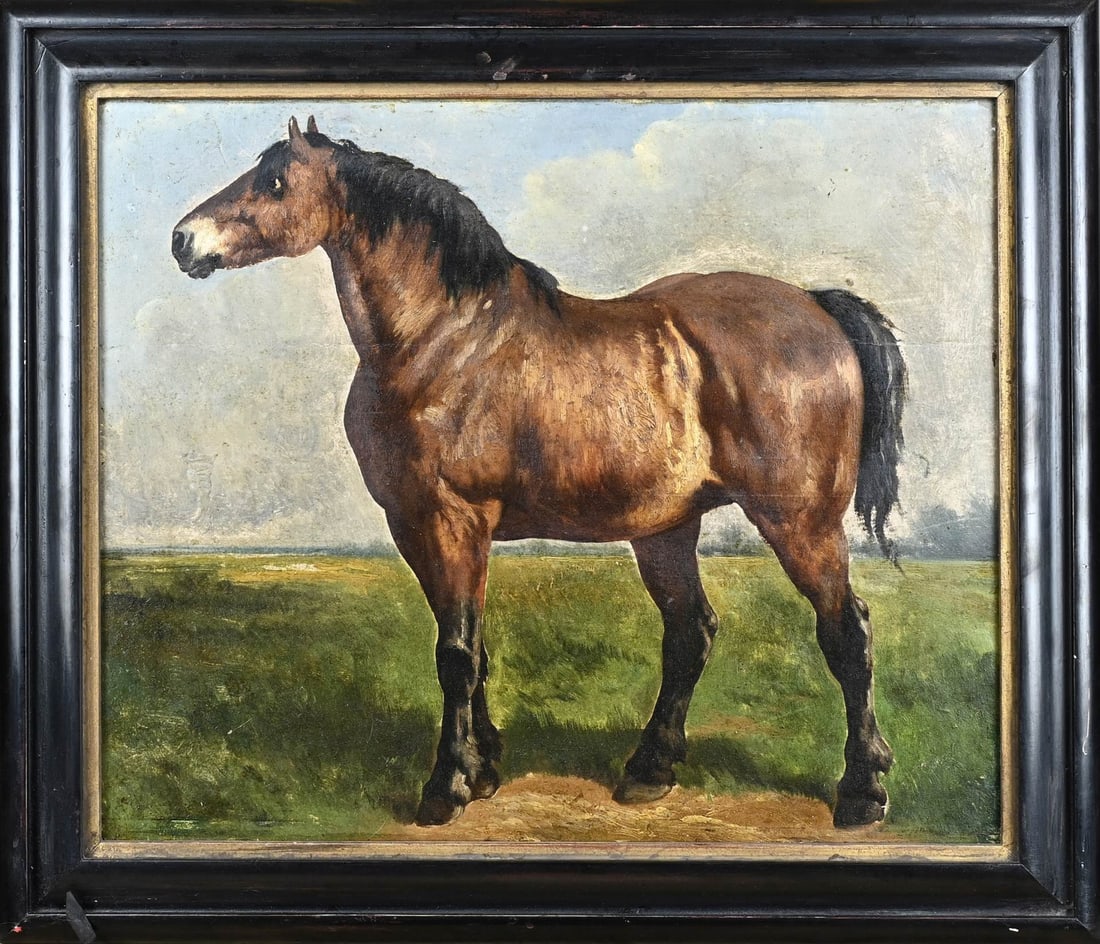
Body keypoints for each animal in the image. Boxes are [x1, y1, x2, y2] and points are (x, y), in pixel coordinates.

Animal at [172, 117, 906, 830]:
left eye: (274, 182)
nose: (183, 241)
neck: (445, 340)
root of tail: (814, 304)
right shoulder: (414, 525)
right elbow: (470, 646)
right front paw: (484, 768)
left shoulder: (455, 521)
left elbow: (456, 655)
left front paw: (446, 788)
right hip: (667, 529)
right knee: (690, 632)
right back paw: (649, 771)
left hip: (800, 522)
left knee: (848, 631)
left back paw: (862, 792)